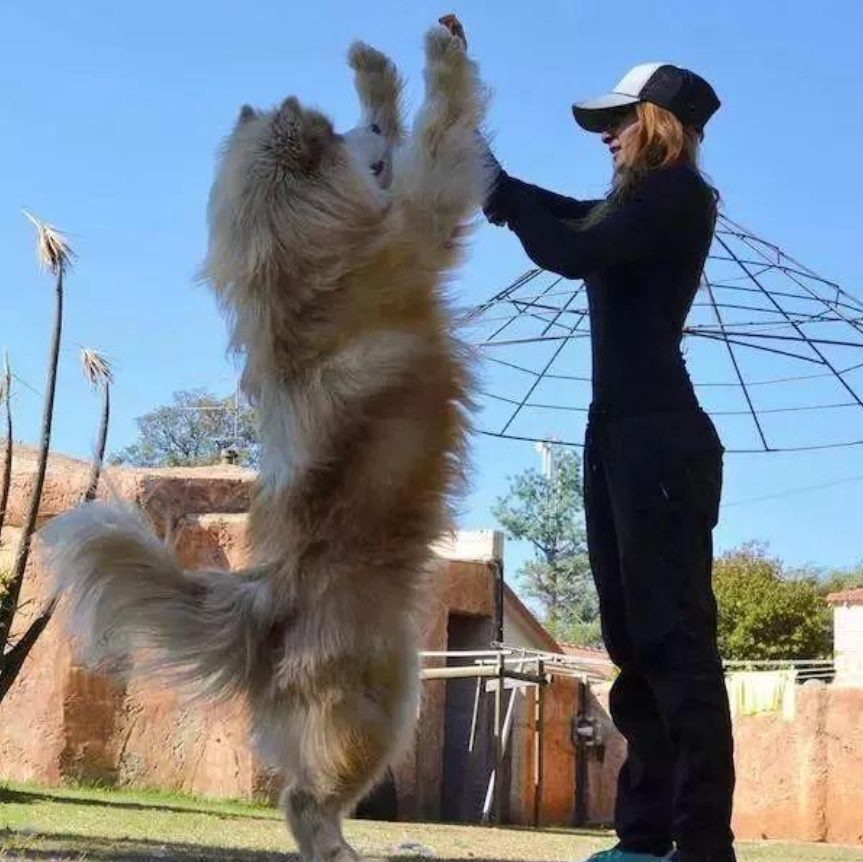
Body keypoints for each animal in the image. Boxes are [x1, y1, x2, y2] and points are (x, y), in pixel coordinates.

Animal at [38, 23, 492, 862]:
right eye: (343, 139)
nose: (368, 130)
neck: (295, 260)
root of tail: (264, 600)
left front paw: (375, 73)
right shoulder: (425, 209)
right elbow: (443, 129)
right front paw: (436, 61)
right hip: (382, 700)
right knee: (303, 801)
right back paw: (350, 850)